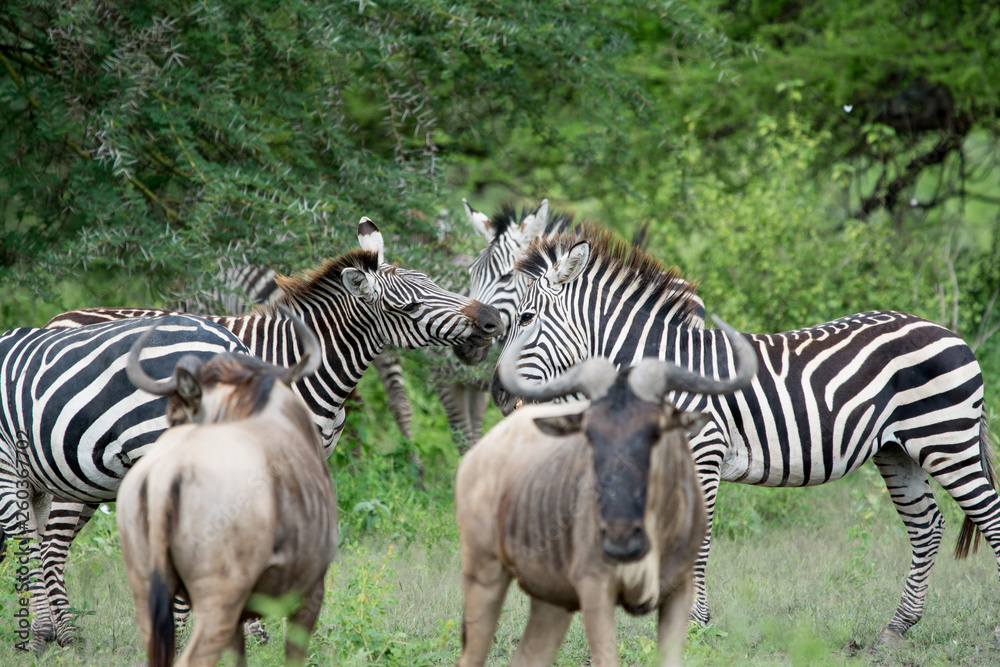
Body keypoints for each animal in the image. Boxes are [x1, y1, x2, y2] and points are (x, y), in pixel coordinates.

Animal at [0, 314, 249, 652]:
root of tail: (228, 344)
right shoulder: (34, 483)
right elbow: (37, 543)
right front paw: (49, 632)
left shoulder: (6, 466)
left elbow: (24, 545)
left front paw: (37, 636)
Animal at [25, 217, 502, 649]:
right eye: (408, 307)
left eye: (434, 282)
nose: (492, 321)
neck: (301, 364)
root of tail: (57, 320)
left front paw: (254, 626)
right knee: (50, 545)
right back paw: (62, 635)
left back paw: (41, 633)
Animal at [490, 226, 1000, 648]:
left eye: (528, 317)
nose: (498, 393)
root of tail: (947, 333)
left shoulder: (703, 452)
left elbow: (696, 543)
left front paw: (694, 627)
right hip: (898, 451)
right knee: (926, 527)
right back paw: (895, 629)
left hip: (945, 439)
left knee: (989, 517)